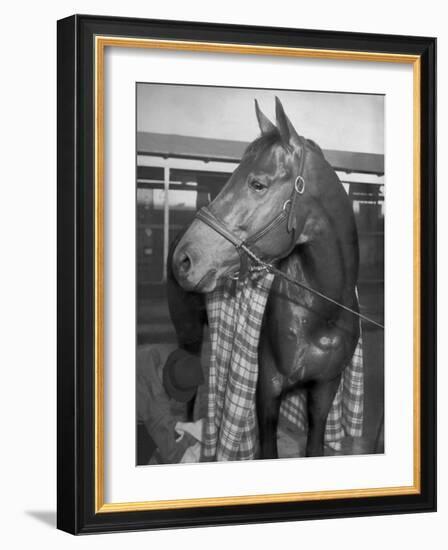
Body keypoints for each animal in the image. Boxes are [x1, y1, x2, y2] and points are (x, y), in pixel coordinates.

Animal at [168, 97, 360, 460]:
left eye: (258, 184)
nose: (184, 260)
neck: (320, 314)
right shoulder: (267, 390)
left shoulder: (324, 390)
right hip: (189, 334)